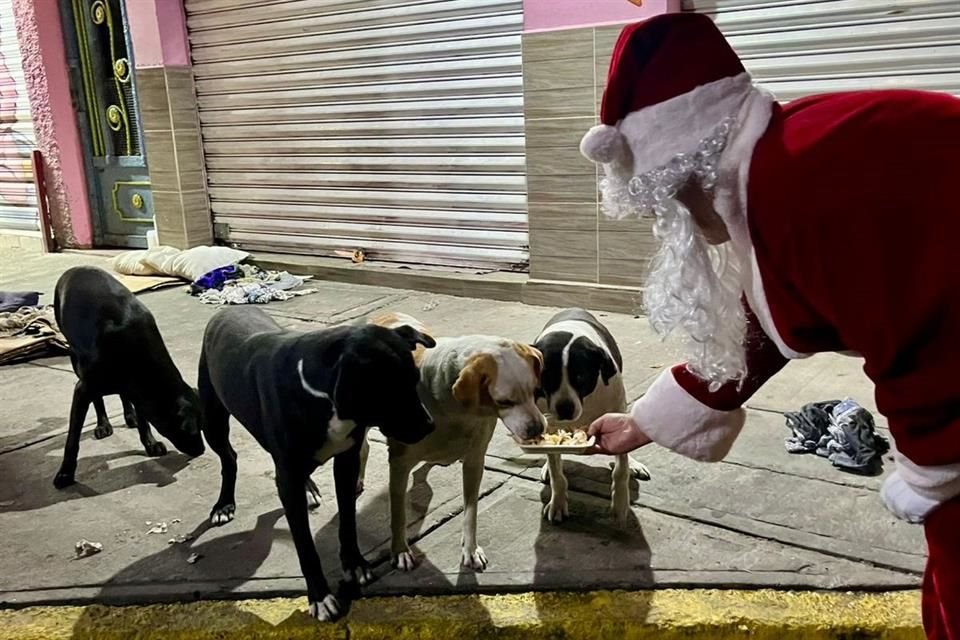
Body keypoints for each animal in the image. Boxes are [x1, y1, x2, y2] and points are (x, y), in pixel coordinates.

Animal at [52, 264, 204, 490]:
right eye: (187, 431)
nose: (201, 450)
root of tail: (76, 268)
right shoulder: (83, 389)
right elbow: (72, 439)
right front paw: (65, 473)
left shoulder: (139, 389)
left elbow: (143, 417)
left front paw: (149, 442)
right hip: (74, 357)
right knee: (98, 399)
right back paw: (103, 425)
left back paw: (129, 415)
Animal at [198, 308, 436, 624]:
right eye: (387, 390)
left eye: (414, 380)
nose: (429, 426)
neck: (319, 391)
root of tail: (227, 309)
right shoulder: (288, 475)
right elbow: (304, 545)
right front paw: (320, 597)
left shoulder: (346, 462)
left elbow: (347, 522)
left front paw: (355, 565)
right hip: (212, 419)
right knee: (229, 458)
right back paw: (224, 504)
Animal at [362, 312, 548, 572]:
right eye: (504, 402)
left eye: (534, 390)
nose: (538, 428)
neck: (455, 411)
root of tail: (386, 315)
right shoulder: (399, 464)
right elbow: (398, 513)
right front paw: (400, 550)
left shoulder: (474, 460)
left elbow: (471, 511)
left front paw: (470, 549)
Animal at [532, 308, 652, 524]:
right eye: (548, 377)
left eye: (580, 377)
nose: (565, 409)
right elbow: (556, 473)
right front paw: (558, 502)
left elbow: (621, 468)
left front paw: (620, 503)